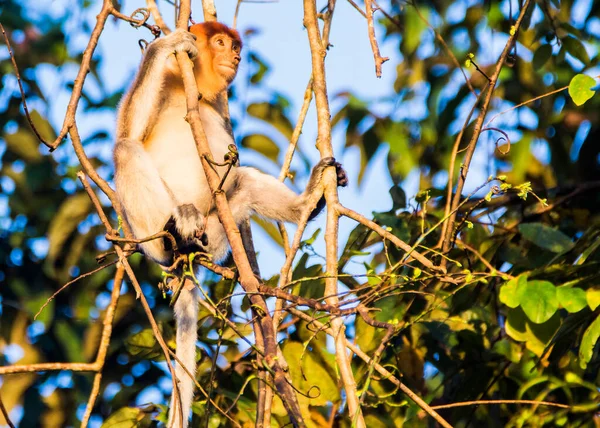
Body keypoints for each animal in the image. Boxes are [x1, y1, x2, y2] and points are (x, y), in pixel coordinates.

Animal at [113, 22, 346, 424]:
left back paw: (307, 202)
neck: (190, 90)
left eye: (236, 46)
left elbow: (234, 173)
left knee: (244, 183)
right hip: (146, 234)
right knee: (127, 150)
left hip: (217, 231)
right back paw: (176, 232)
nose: (235, 56)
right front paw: (167, 44)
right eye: (221, 42)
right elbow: (128, 132)